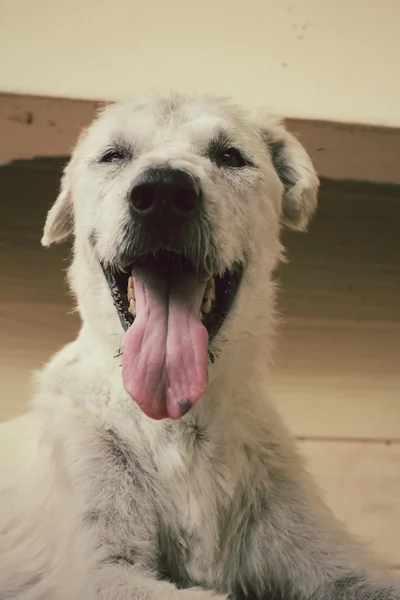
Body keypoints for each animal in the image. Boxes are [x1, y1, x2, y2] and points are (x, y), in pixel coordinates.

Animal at [0, 91, 398, 596]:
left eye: (230, 156)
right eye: (113, 155)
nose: (163, 195)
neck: (181, 426)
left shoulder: (332, 558)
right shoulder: (100, 571)